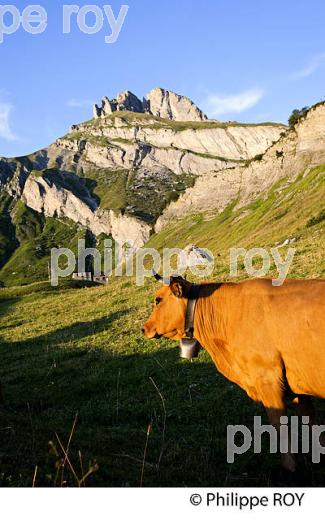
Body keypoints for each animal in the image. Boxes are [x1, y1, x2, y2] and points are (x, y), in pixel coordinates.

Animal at [142, 276, 324, 472]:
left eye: (158, 300)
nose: (144, 328)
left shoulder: (267, 380)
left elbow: (279, 426)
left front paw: (290, 469)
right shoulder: (297, 385)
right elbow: (310, 418)